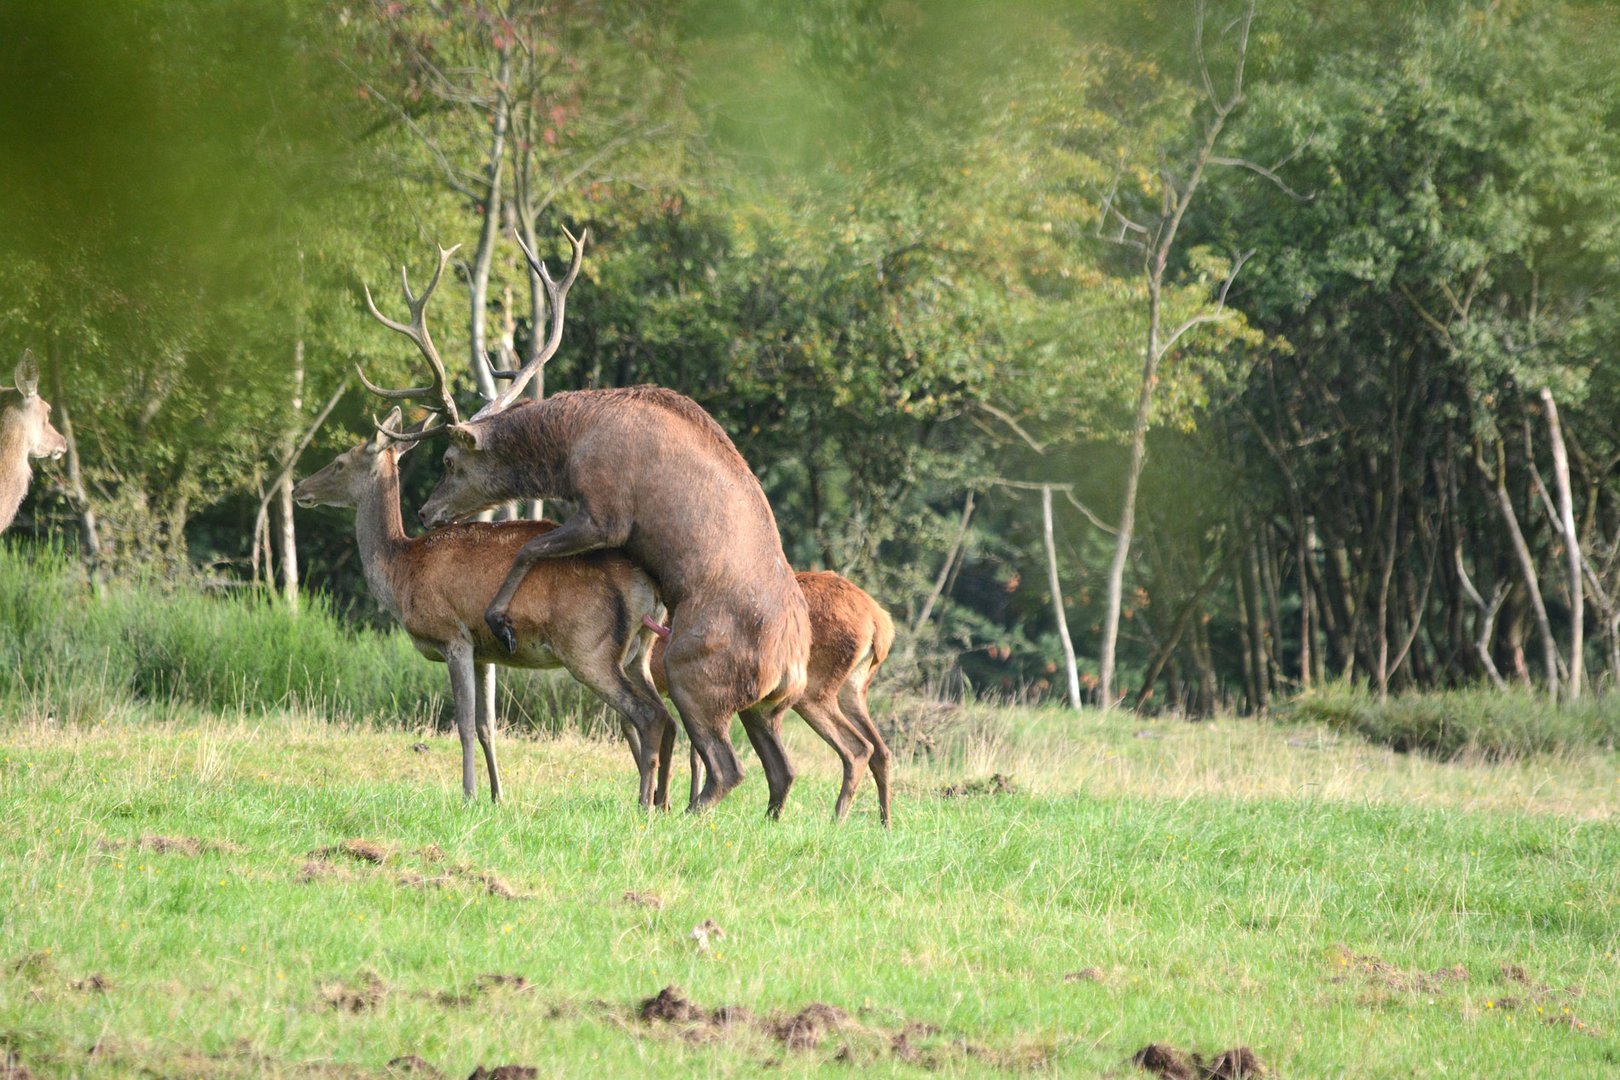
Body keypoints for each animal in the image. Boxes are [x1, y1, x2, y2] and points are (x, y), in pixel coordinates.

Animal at [289, 409, 670, 806]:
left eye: (339, 462)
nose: (298, 489)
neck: (400, 573)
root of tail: (650, 588)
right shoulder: (485, 650)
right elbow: (488, 725)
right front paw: (497, 795)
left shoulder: (452, 636)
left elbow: (464, 724)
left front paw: (468, 793)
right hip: (638, 652)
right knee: (663, 717)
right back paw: (662, 800)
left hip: (588, 646)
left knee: (644, 715)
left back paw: (645, 802)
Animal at [374, 229, 816, 819]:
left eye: (448, 460)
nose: (424, 512)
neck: (568, 448)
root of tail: (791, 665)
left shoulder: (606, 511)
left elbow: (530, 549)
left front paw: (500, 619)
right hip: (762, 707)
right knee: (781, 771)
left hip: (691, 668)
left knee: (726, 765)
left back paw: (678, 814)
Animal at [648, 573, 900, 829]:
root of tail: (880, 625)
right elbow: (693, 755)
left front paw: (661, 806)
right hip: (852, 691)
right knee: (881, 750)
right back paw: (885, 824)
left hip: (812, 690)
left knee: (859, 747)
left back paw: (836, 820)